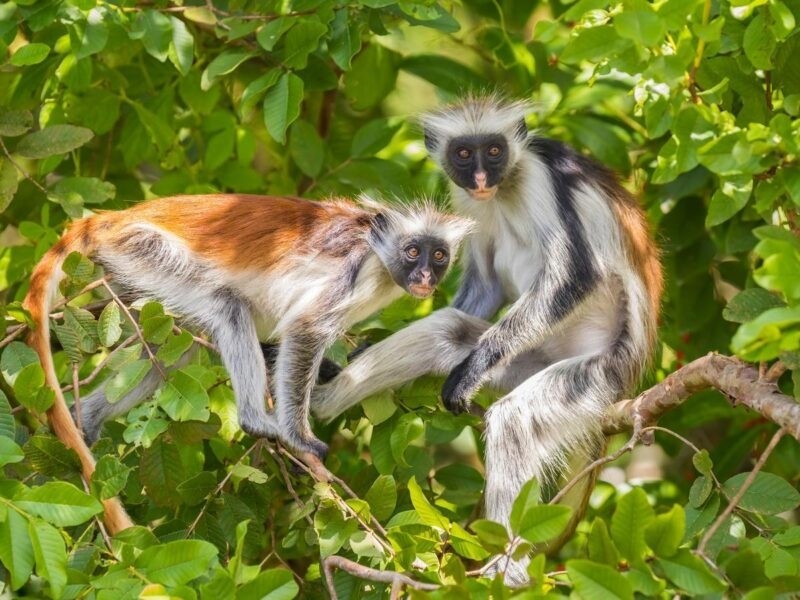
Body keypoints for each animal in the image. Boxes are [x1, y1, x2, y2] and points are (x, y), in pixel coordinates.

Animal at [23, 193, 472, 534]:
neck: (377, 251)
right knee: (228, 305)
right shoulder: (352, 270)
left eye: (438, 255)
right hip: (142, 248)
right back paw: (256, 420)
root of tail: (112, 218)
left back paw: (87, 418)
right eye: (412, 252)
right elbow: (305, 329)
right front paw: (299, 437)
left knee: (174, 349)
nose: (426, 276)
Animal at [310, 97, 662, 584]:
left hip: (598, 372)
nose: (480, 178)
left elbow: (576, 275)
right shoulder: (466, 201)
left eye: (494, 151)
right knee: (448, 330)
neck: (504, 187)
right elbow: (486, 284)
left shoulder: (540, 176)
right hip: (527, 359)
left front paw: (473, 369)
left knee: (514, 419)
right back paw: (318, 400)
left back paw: (508, 572)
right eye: (464, 154)